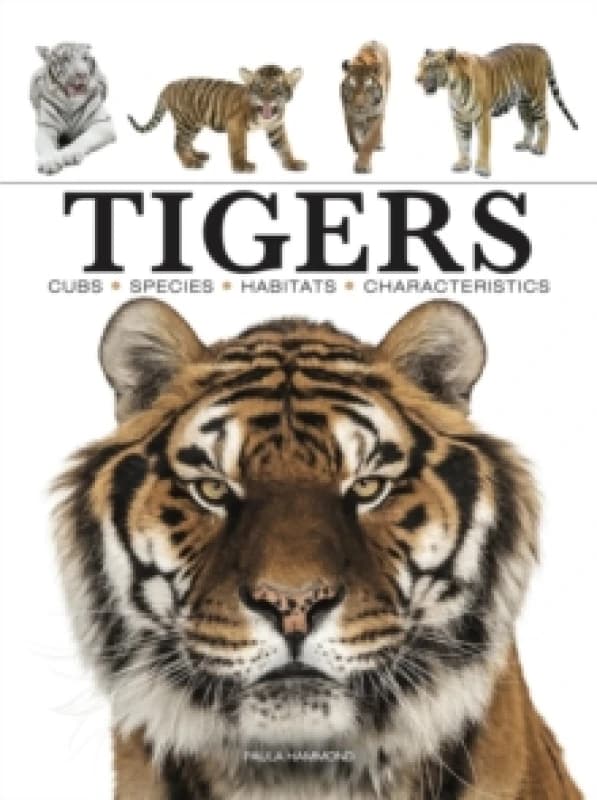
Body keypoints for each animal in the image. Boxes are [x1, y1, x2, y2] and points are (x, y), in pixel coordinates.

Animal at [30, 42, 116, 175]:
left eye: (85, 58)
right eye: (65, 58)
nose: (83, 74)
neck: (70, 102)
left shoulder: (102, 123)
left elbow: (83, 139)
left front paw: (68, 154)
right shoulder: (47, 127)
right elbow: (46, 145)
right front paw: (50, 162)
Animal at [128, 65, 306, 172]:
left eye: (276, 89)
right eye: (259, 88)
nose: (266, 100)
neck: (266, 116)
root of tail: (168, 86)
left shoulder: (276, 128)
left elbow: (284, 147)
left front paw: (293, 163)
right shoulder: (235, 125)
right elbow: (239, 147)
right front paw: (241, 166)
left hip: (194, 124)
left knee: (186, 142)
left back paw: (197, 155)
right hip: (186, 122)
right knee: (179, 143)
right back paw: (190, 163)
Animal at [341, 41, 390, 173]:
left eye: (368, 87)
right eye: (352, 86)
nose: (359, 107)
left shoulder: (377, 114)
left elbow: (369, 141)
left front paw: (362, 165)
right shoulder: (349, 113)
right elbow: (353, 137)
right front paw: (358, 149)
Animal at [415, 44, 578, 177]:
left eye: (430, 66)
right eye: (420, 65)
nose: (416, 79)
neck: (454, 88)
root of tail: (541, 48)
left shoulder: (483, 118)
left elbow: (483, 144)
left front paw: (482, 169)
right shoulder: (460, 119)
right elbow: (462, 143)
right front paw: (463, 164)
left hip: (536, 98)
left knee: (545, 123)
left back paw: (539, 149)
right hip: (523, 104)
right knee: (529, 123)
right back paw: (524, 144)